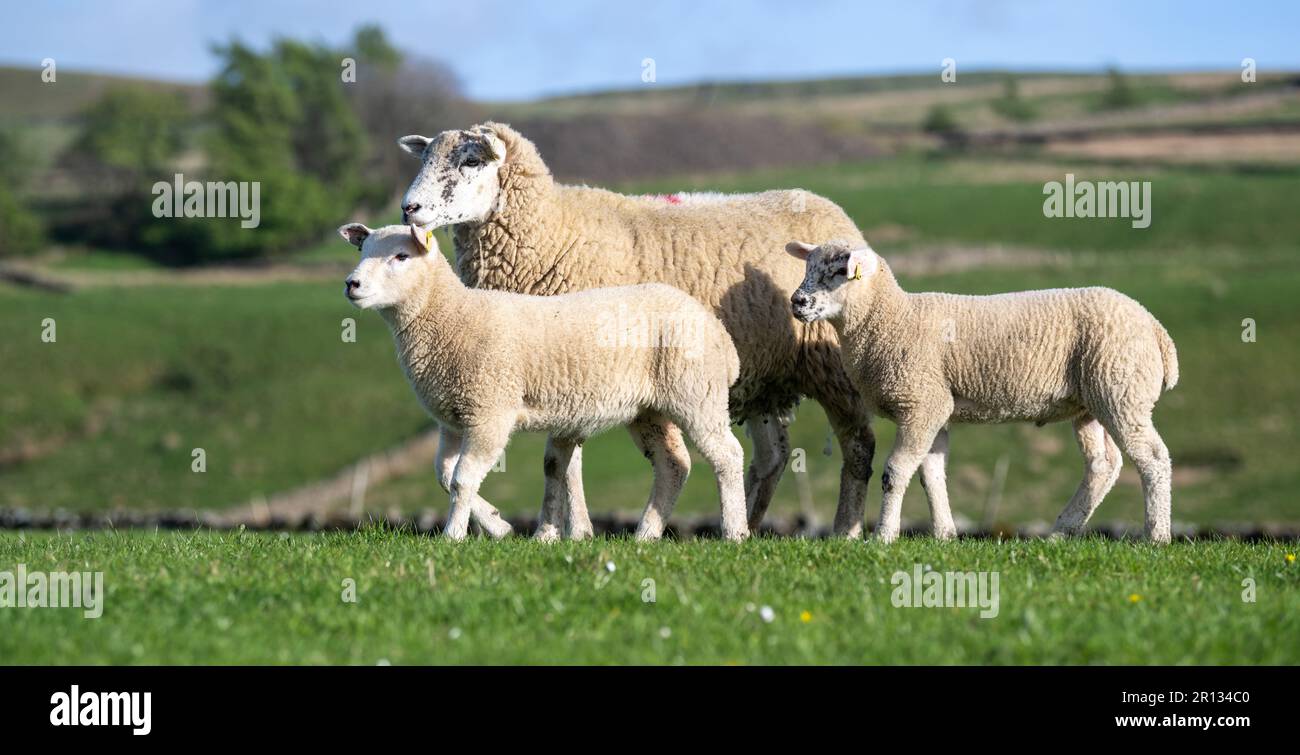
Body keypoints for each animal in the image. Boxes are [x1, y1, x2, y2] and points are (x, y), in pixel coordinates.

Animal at [339, 222, 748, 542]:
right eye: (364, 250)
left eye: (401, 257)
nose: (351, 284)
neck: (451, 316)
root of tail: (721, 336)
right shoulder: (453, 417)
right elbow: (443, 474)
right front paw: (498, 525)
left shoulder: (490, 412)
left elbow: (462, 478)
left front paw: (452, 536)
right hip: (649, 409)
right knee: (673, 464)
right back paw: (645, 534)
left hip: (696, 393)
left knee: (727, 455)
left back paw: (735, 532)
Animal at [396, 121, 930, 538]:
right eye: (424, 156)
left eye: (470, 160)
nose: (409, 208)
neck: (552, 232)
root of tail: (833, 213)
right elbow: (465, 471)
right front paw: (513, 526)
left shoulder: (575, 365)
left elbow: (563, 464)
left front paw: (573, 531)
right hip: (761, 375)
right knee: (772, 456)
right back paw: (746, 524)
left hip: (828, 364)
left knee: (857, 445)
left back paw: (843, 531)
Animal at [786, 239, 1179, 544]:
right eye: (808, 267)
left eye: (839, 271)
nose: (797, 302)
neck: (891, 318)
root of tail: (1155, 327)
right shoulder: (937, 408)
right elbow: (932, 475)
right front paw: (945, 535)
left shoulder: (921, 403)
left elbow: (895, 472)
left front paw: (884, 536)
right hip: (1090, 403)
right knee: (1102, 465)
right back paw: (1060, 532)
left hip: (1121, 390)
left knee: (1153, 458)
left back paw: (1156, 536)